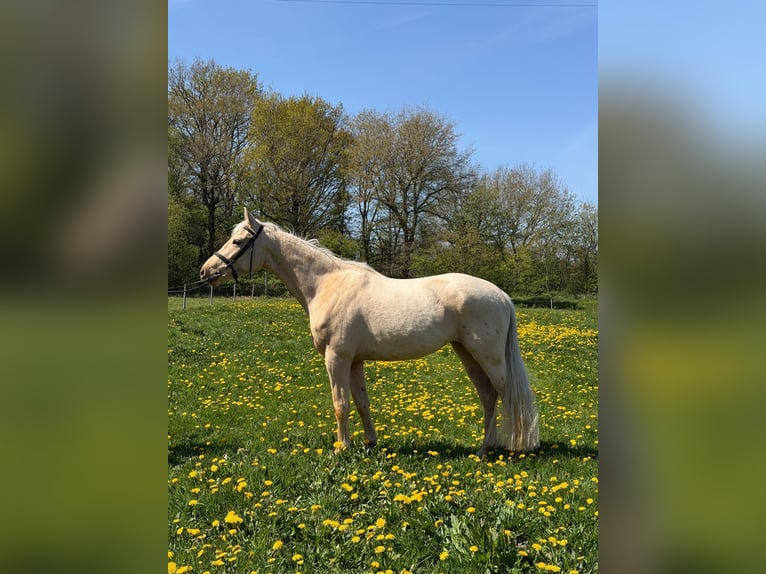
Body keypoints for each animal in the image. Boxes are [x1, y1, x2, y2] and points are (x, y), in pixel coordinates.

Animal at [200, 208, 539, 456]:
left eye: (238, 242)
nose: (206, 272)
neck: (326, 284)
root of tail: (501, 295)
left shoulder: (336, 357)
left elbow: (340, 404)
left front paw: (341, 449)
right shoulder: (355, 361)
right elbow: (362, 402)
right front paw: (369, 443)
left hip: (489, 356)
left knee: (507, 395)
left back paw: (512, 447)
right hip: (466, 353)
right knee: (488, 396)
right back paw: (484, 448)